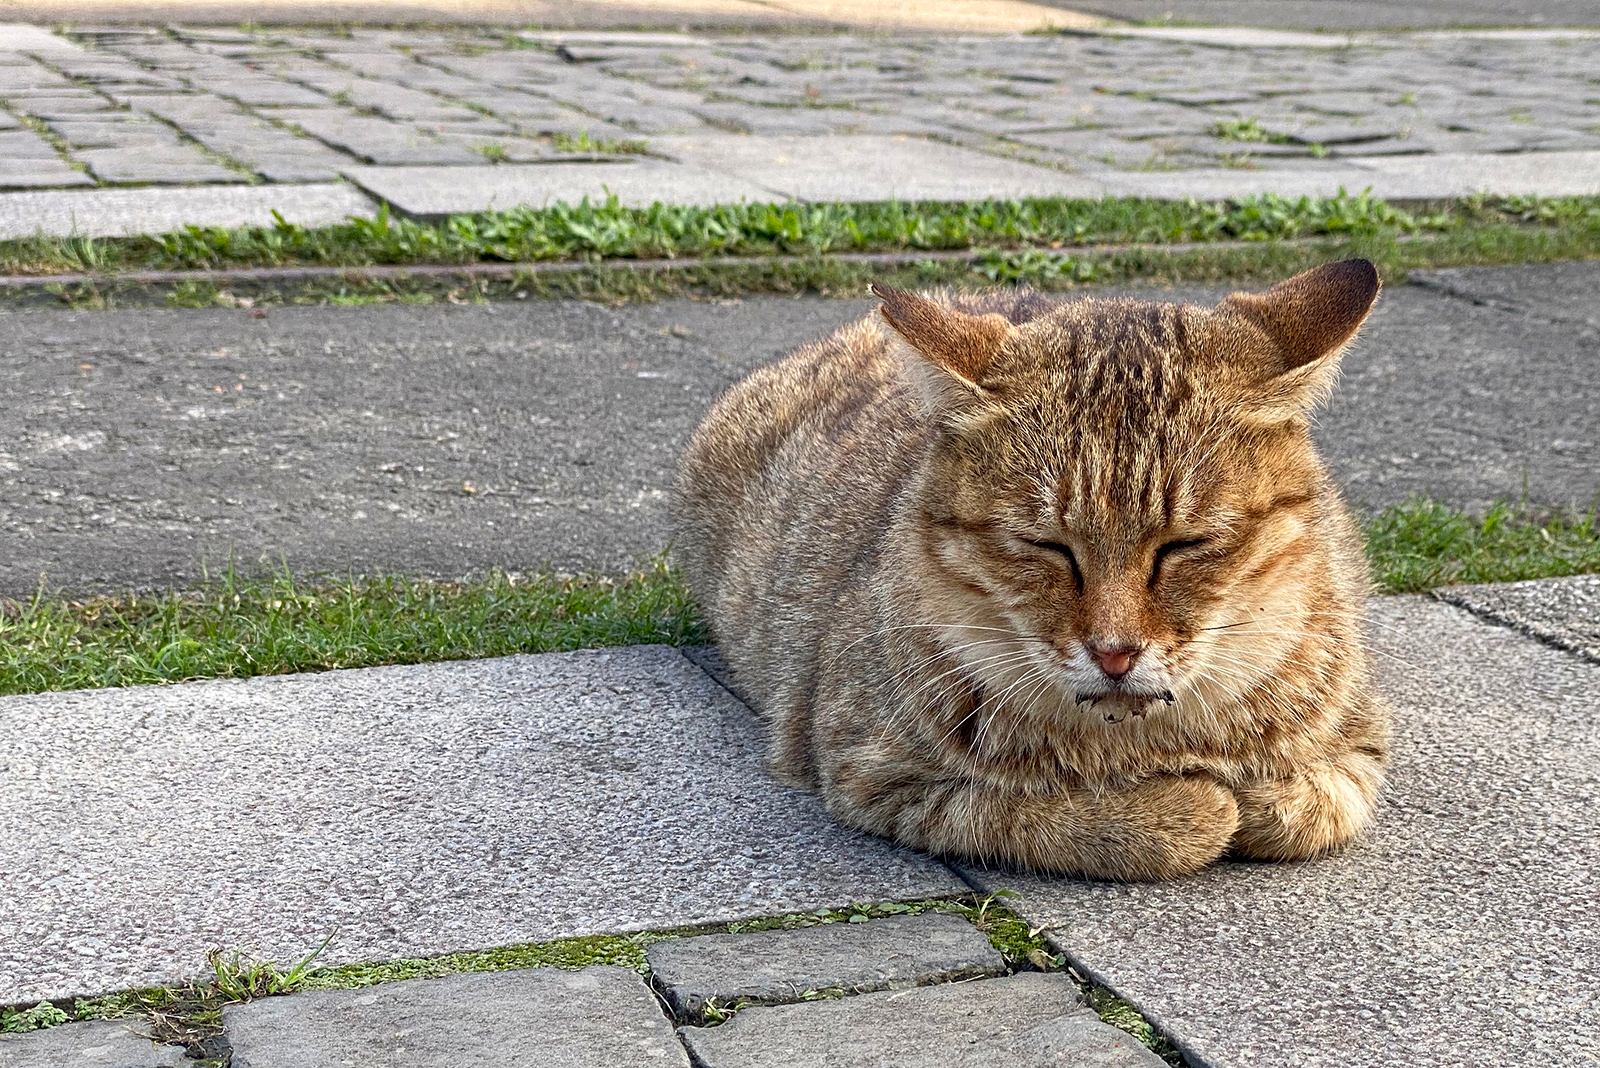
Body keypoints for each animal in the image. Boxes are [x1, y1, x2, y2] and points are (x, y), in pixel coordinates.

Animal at [672, 262, 1388, 882]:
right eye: (1048, 546)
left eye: (1186, 545)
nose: (1114, 653)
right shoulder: (874, 771)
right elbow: (1120, 819)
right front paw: (1193, 806)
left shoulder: (1363, 742)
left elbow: (1309, 806)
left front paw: (1256, 793)